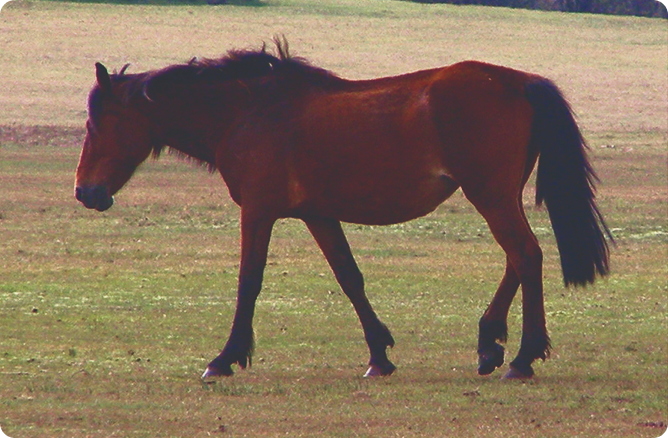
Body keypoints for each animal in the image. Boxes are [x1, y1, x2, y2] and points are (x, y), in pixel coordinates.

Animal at [75, 40, 612, 380]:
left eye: (96, 124)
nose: (85, 192)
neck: (248, 112)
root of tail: (519, 81)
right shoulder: (319, 214)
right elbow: (350, 278)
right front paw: (379, 356)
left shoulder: (259, 211)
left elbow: (249, 281)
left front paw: (225, 358)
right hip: (497, 195)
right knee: (516, 260)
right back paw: (489, 344)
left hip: (491, 195)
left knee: (526, 255)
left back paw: (522, 357)